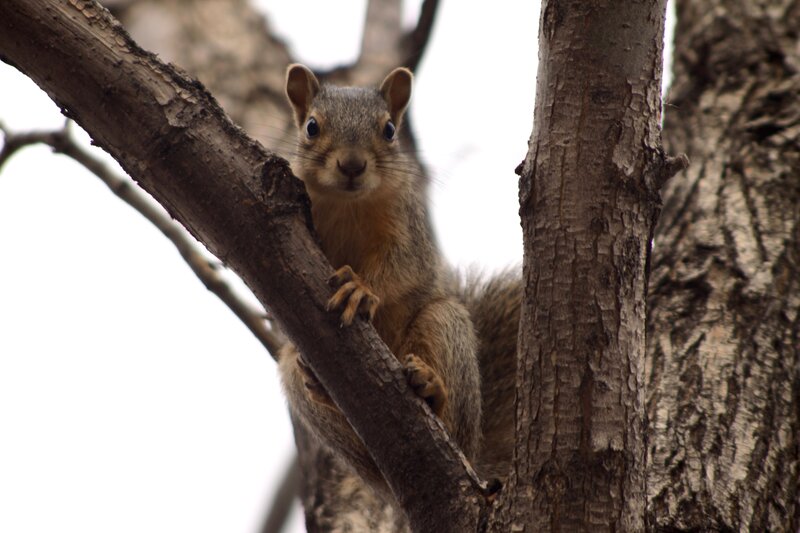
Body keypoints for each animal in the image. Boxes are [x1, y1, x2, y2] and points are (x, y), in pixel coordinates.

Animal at [277, 64, 486, 495]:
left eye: (389, 130)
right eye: (311, 127)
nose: (352, 165)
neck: (348, 204)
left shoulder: (407, 225)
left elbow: (403, 266)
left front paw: (361, 289)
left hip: (445, 322)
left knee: (453, 427)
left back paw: (431, 390)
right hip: (293, 373)